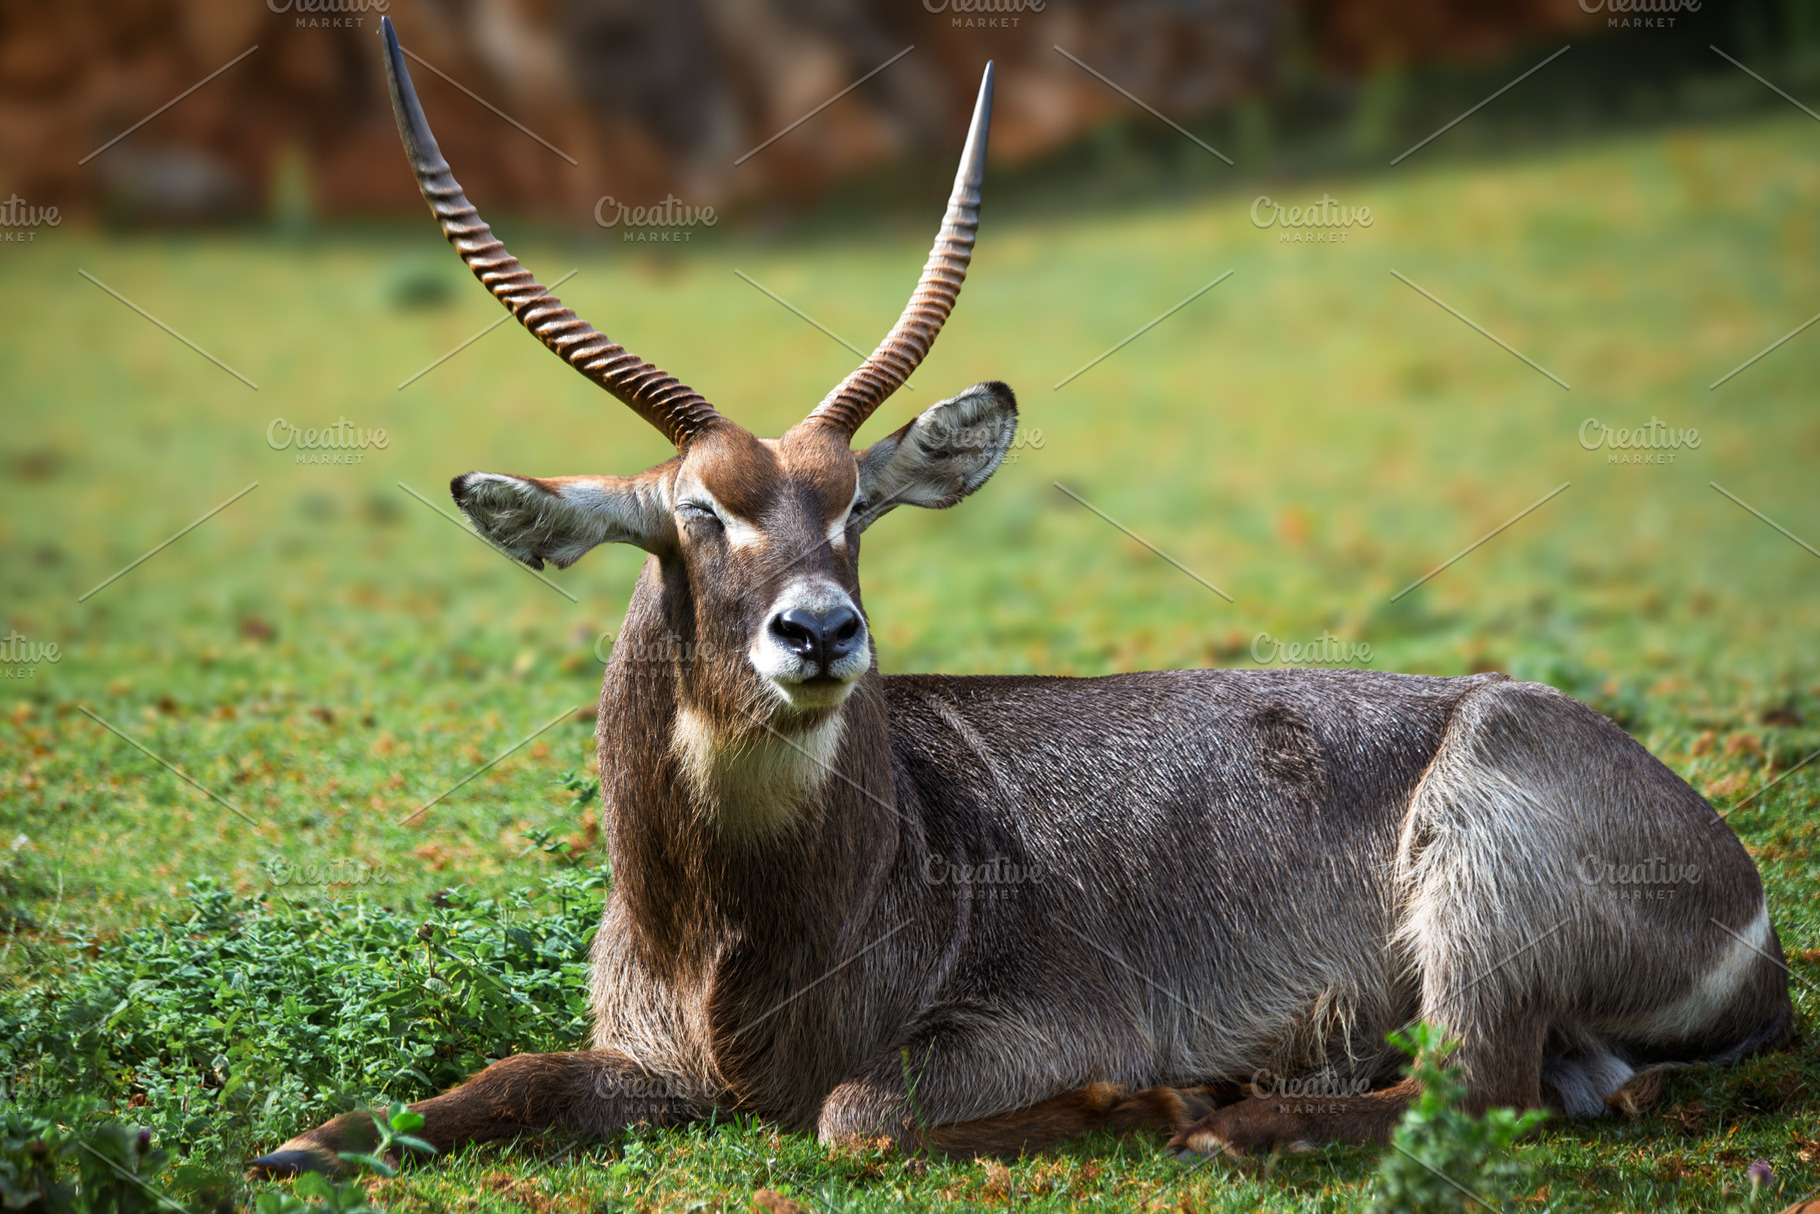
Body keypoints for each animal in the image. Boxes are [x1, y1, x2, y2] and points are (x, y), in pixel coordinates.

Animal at [252, 16, 1792, 1175]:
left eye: (855, 509)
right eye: (697, 510)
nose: (821, 631)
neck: (734, 947)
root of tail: (1745, 894)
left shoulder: (1018, 1025)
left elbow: (855, 1111)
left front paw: (1148, 1096)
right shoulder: (649, 1062)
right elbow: (508, 1074)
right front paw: (312, 1139)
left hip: (1475, 883)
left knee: (1476, 1086)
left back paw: (1229, 1118)